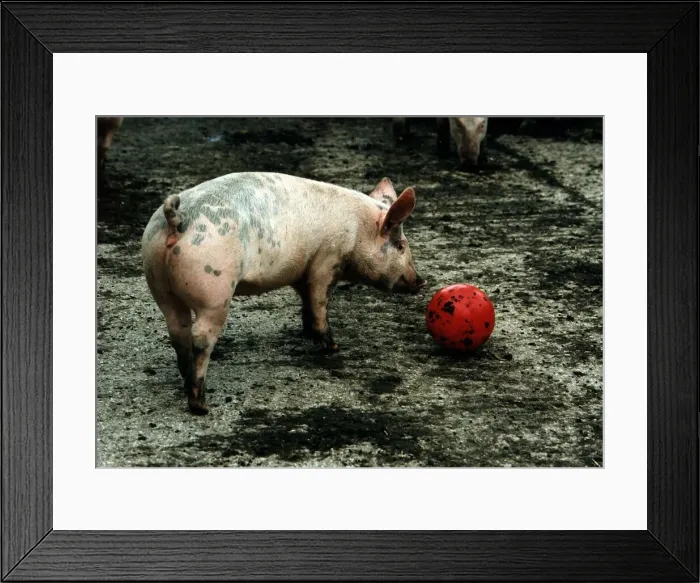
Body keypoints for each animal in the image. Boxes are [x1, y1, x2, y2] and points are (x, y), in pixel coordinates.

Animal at [141, 172, 425, 415]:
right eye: (400, 245)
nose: (420, 282)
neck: (358, 230)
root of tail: (177, 220)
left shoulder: (301, 271)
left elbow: (306, 302)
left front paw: (307, 333)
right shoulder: (327, 261)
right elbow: (320, 302)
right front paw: (333, 347)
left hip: (159, 284)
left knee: (177, 331)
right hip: (214, 291)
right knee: (200, 337)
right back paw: (201, 406)